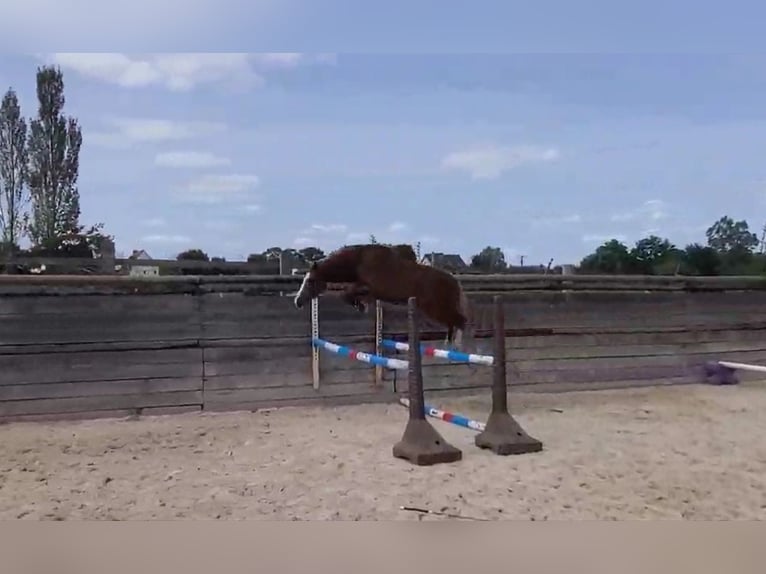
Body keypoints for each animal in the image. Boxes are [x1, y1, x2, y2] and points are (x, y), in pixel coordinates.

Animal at [294, 244, 474, 352]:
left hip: (435, 308)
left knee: (460, 321)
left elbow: (347, 293)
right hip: (438, 309)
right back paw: (448, 345)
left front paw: (361, 306)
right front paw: (361, 305)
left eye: (310, 281)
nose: (297, 301)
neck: (360, 260)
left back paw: (459, 347)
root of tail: (454, 281)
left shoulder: (371, 288)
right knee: (453, 323)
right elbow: (348, 294)